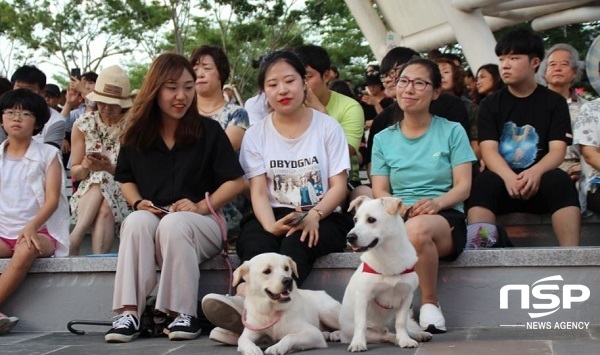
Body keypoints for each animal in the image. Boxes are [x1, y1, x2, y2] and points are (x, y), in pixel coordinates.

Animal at [338, 197, 432, 354]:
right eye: (355, 219)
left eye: (371, 219)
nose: (349, 237)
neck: (387, 256)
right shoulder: (363, 296)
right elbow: (361, 323)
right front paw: (358, 343)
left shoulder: (407, 296)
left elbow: (401, 322)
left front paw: (405, 339)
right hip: (370, 332)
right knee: (385, 335)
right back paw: (395, 338)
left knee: (404, 327)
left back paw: (417, 334)